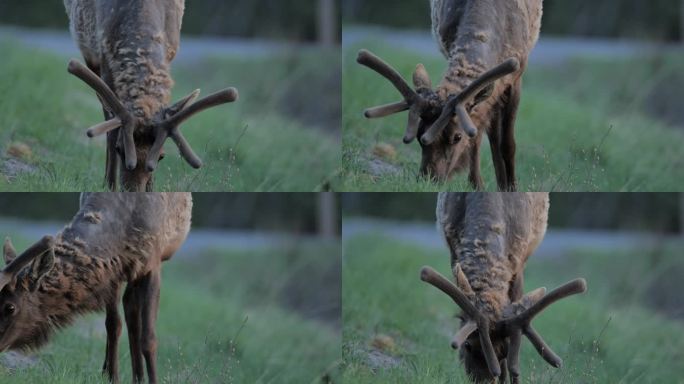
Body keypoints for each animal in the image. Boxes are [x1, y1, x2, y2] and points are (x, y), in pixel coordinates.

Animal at [0, 192, 191, 384]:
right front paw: (112, 377)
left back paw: (138, 377)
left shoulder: (152, 264)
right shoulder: (112, 272)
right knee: (129, 308)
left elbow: (149, 339)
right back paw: (132, 376)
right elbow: (113, 325)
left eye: (10, 307)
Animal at [64, 0, 239, 192]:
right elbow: (111, 130)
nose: (132, 192)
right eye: (119, 149)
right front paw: (109, 186)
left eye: (161, 156)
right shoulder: (104, 58)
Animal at [360, 0, 544, 190]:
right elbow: (477, 136)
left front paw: (512, 187)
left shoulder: (516, 76)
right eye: (418, 134)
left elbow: (507, 144)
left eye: (457, 137)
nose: (428, 179)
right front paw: (477, 185)